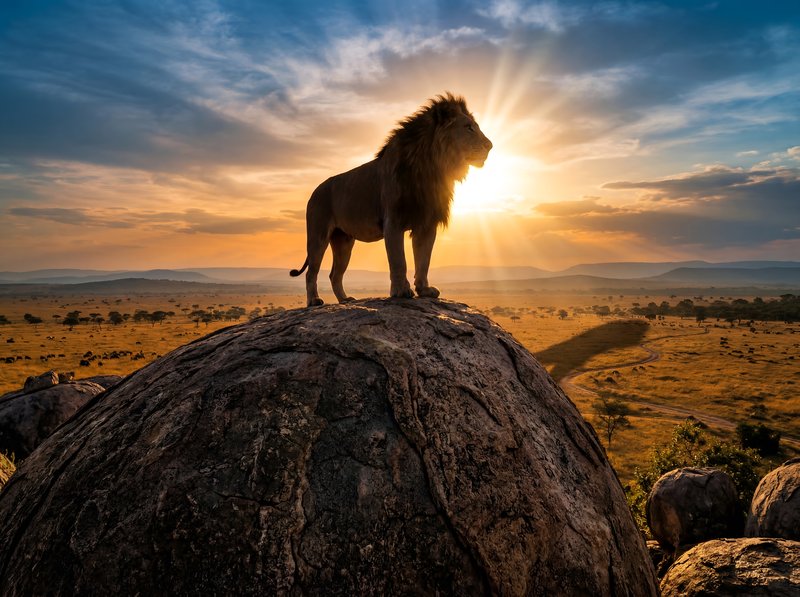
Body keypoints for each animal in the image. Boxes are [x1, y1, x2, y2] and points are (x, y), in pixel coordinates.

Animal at [290, 92, 492, 307]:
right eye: (468, 127)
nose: (490, 145)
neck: (432, 169)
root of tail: (314, 192)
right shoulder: (393, 221)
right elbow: (399, 261)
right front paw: (401, 291)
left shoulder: (426, 224)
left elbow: (424, 260)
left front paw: (424, 290)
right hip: (318, 236)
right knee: (311, 272)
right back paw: (314, 300)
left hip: (344, 241)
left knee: (334, 274)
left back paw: (345, 299)